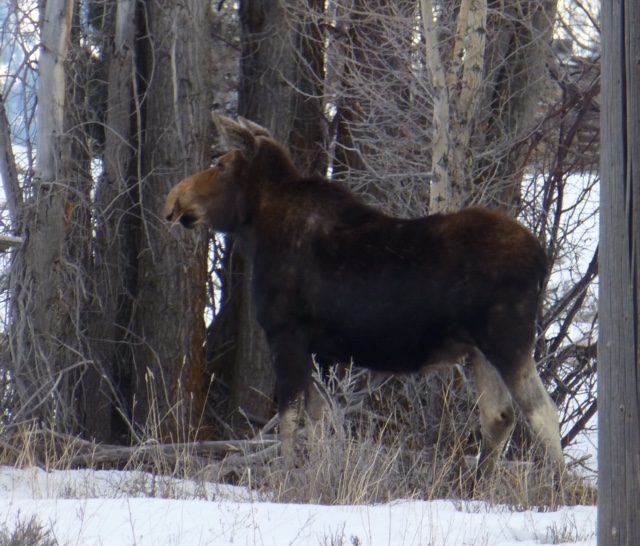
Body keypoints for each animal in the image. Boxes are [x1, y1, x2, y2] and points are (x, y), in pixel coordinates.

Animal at [166, 115, 564, 476]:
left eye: (220, 165)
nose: (174, 200)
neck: (257, 229)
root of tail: (542, 258)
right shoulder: (319, 353)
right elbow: (319, 424)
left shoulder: (286, 335)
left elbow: (289, 422)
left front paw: (287, 479)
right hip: (480, 350)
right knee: (499, 416)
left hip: (507, 340)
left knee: (543, 411)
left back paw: (557, 486)